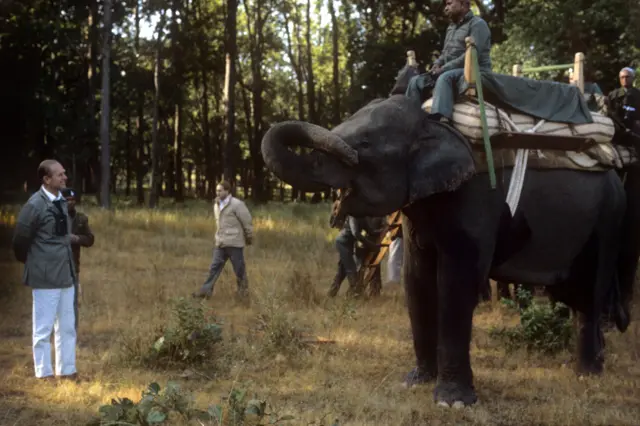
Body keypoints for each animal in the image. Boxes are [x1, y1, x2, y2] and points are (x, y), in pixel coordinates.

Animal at [262, 63, 640, 406]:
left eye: (365, 144)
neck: (435, 125)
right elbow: (417, 278)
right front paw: (414, 382)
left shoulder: (475, 197)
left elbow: (456, 281)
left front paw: (452, 402)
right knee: (573, 293)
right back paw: (588, 364)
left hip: (608, 218)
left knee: (589, 291)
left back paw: (587, 374)